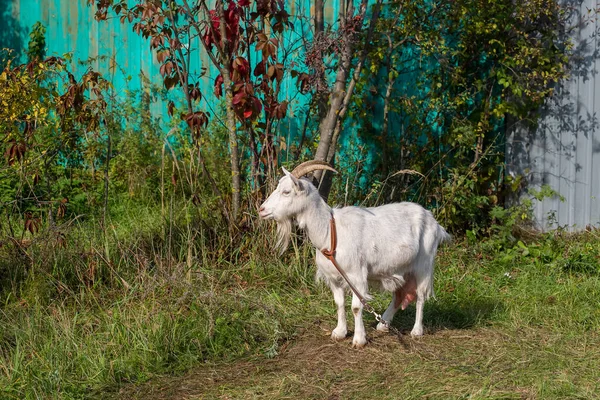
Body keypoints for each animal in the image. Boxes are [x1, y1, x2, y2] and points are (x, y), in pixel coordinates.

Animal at [258, 161, 450, 348]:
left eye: (286, 191)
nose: (261, 209)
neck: (330, 231)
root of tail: (434, 222)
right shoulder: (334, 277)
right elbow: (339, 303)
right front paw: (339, 332)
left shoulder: (356, 275)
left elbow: (356, 307)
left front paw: (359, 339)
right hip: (401, 267)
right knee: (399, 294)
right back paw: (383, 324)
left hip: (424, 264)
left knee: (421, 295)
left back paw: (416, 330)